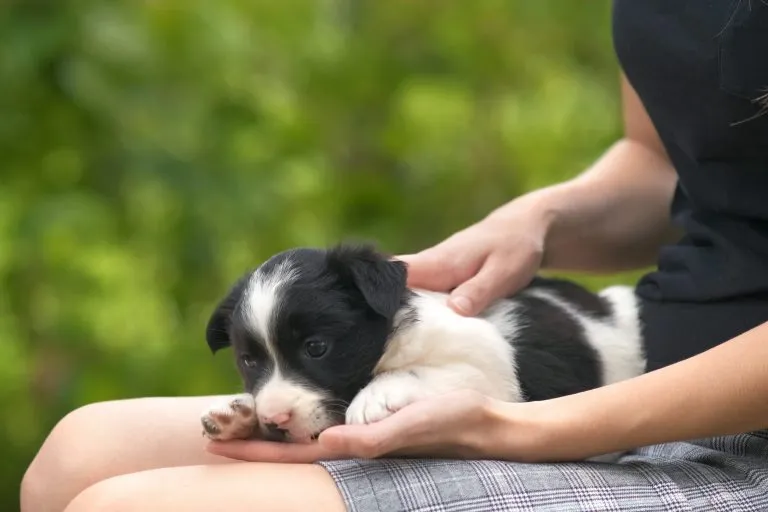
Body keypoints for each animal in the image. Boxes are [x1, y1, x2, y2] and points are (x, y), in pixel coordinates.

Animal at [201, 244, 644, 444]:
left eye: (316, 348)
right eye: (248, 361)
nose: (274, 421)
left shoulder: (487, 373)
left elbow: (416, 372)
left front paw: (375, 396)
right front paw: (237, 412)